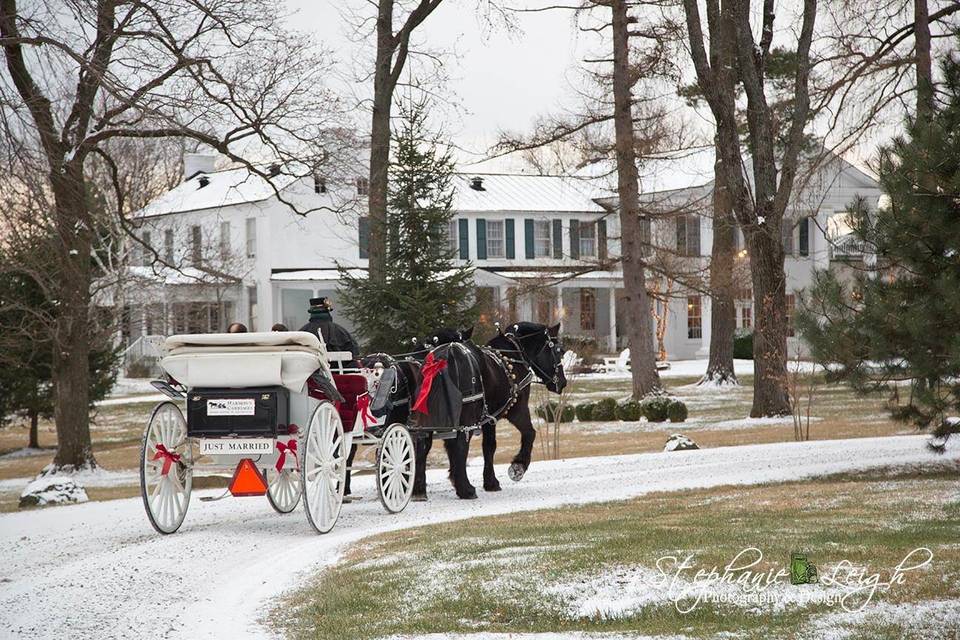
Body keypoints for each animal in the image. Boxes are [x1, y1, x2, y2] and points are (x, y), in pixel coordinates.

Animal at [410, 322, 568, 502]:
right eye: (559, 351)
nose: (563, 382)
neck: (512, 355)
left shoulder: (489, 418)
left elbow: (488, 446)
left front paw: (489, 481)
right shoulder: (516, 410)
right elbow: (528, 433)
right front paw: (517, 467)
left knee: (423, 444)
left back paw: (419, 489)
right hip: (466, 418)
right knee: (459, 445)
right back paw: (465, 489)